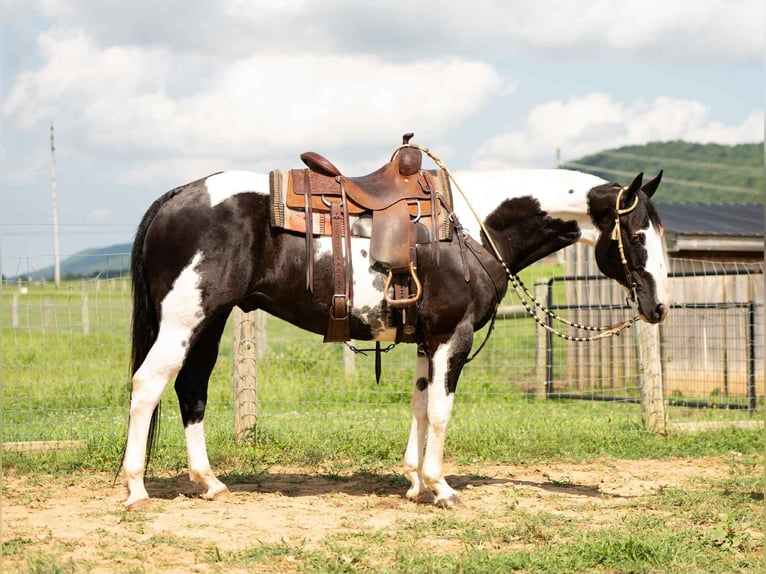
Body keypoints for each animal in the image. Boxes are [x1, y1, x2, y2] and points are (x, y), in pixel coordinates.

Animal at [121, 155, 670, 510]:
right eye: (637, 234)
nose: (660, 306)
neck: (474, 228)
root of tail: (176, 196)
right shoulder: (453, 336)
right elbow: (442, 412)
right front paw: (440, 487)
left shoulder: (428, 341)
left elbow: (421, 407)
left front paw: (413, 484)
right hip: (185, 321)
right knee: (148, 385)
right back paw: (136, 488)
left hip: (209, 322)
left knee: (191, 388)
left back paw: (209, 482)